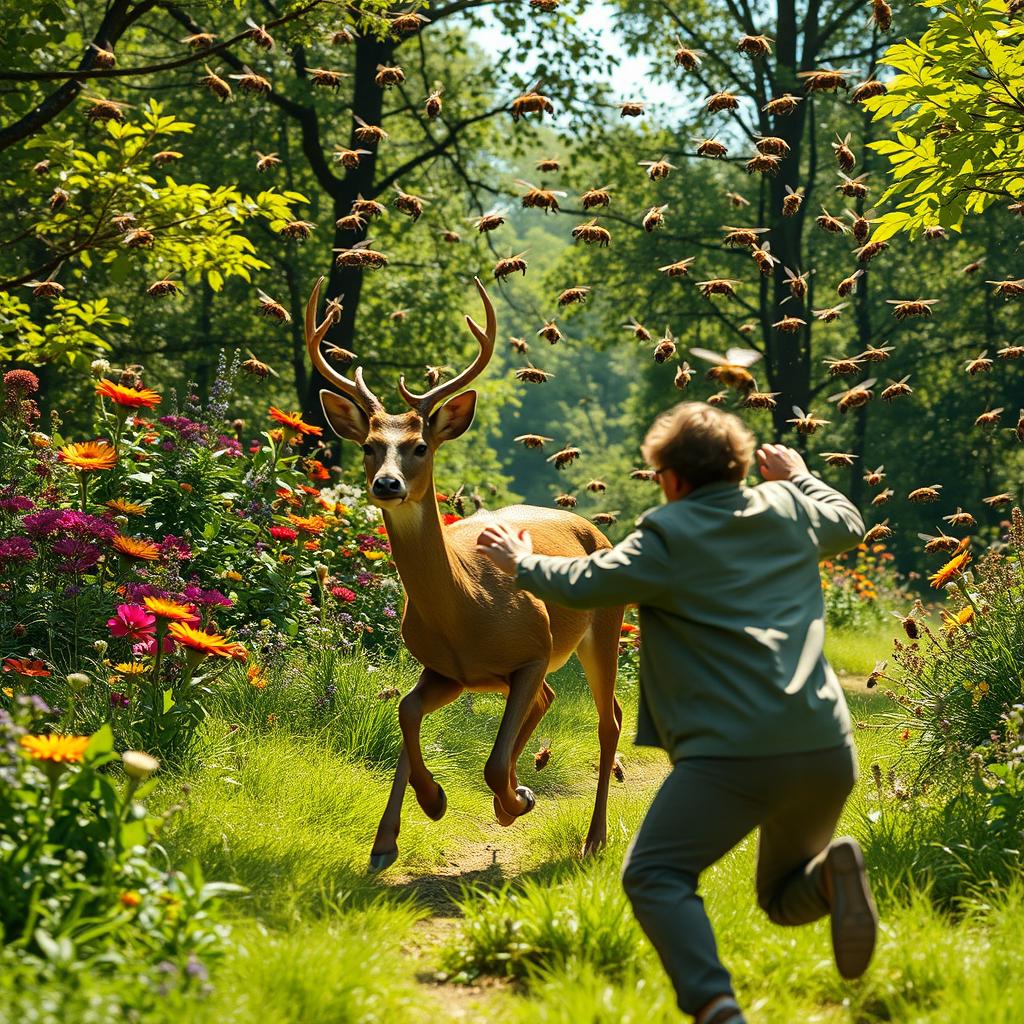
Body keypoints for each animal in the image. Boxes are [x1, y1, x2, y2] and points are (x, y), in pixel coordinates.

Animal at [305, 275, 624, 872]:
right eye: (369, 446)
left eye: (419, 445)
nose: (386, 484)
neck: (466, 609)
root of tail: (590, 527)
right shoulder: (445, 669)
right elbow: (406, 710)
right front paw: (413, 817)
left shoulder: (533, 648)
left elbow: (493, 762)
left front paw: (516, 799)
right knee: (553, 700)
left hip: (605, 626)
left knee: (608, 718)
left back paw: (591, 838)